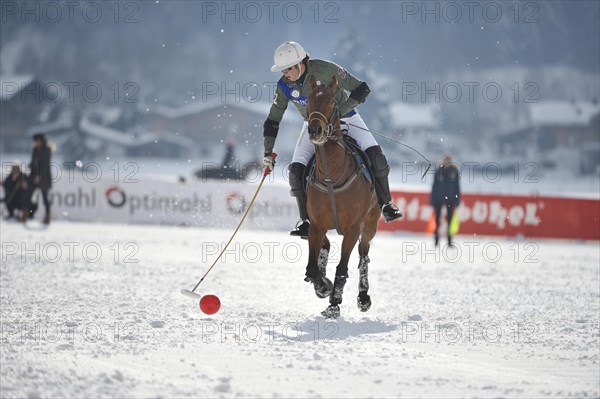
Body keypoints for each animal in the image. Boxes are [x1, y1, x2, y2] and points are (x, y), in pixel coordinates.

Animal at [304, 76, 380, 318]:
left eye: (331, 100)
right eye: (308, 99)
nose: (315, 130)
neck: (331, 176)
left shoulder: (353, 229)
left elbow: (342, 268)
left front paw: (334, 303)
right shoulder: (316, 225)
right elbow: (312, 267)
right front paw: (323, 287)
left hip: (371, 222)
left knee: (364, 256)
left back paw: (363, 297)